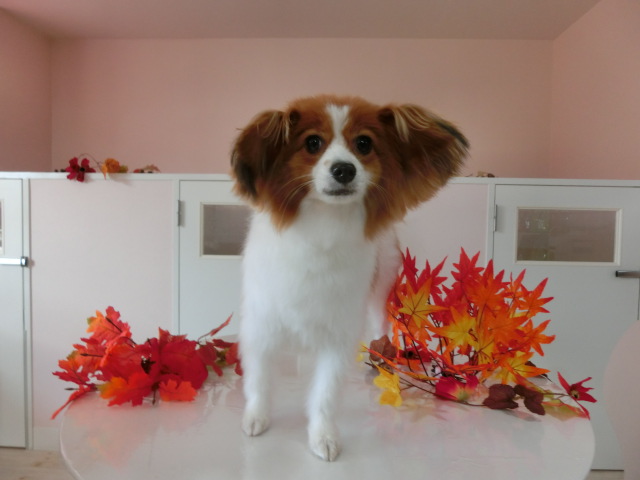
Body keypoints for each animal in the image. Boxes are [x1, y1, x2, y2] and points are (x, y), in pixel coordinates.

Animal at [230, 95, 468, 461]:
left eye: (364, 144)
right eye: (312, 143)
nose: (344, 169)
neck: (322, 227)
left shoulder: (337, 335)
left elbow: (325, 395)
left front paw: (323, 436)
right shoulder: (261, 326)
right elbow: (259, 382)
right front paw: (257, 417)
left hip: (380, 291)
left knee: (381, 328)